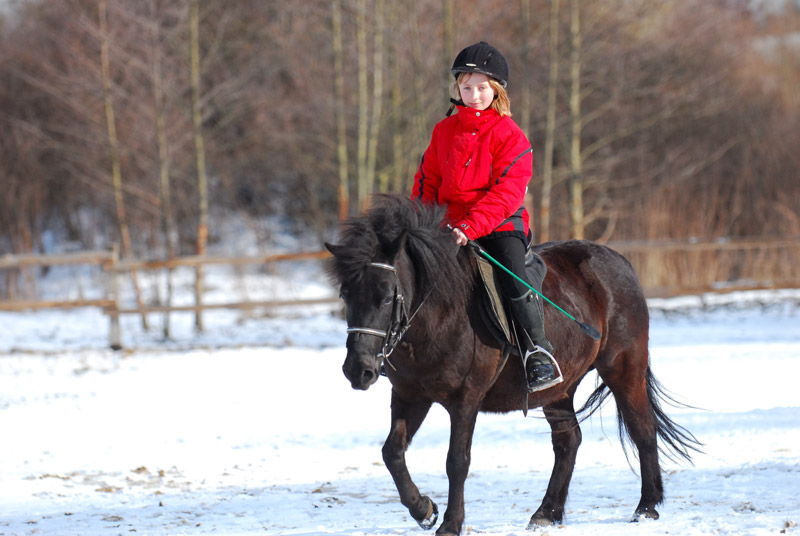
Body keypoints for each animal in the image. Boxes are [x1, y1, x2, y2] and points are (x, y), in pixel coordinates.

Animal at [324, 195, 700, 532]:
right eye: (345, 294)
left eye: (387, 296)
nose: (357, 370)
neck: (439, 314)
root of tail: (618, 261)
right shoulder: (410, 395)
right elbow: (392, 452)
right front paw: (424, 510)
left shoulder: (466, 398)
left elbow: (457, 461)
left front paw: (450, 524)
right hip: (559, 388)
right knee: (568, 441)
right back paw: (547, 513)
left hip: (624, 369)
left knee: (642, 429)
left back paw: (646, 507)